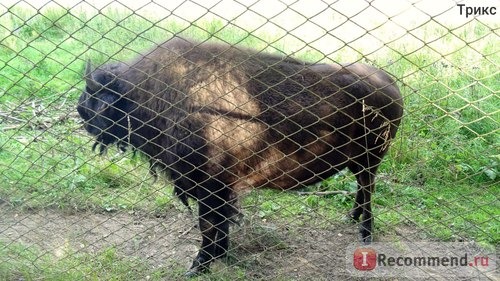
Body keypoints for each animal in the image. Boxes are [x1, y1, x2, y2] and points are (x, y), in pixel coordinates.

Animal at [79, 36, 406, 274]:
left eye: (97, 99)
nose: (82, 116)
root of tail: (389, 83)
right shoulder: (218, 189)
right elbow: (217, 224)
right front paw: (219, 256)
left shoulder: (211, 187)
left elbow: (209, 225)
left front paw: (199, 265)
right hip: (358, 163)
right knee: (363, 190)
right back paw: (353, 218)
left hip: (369, 160)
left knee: (368, 190)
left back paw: (365, 232)